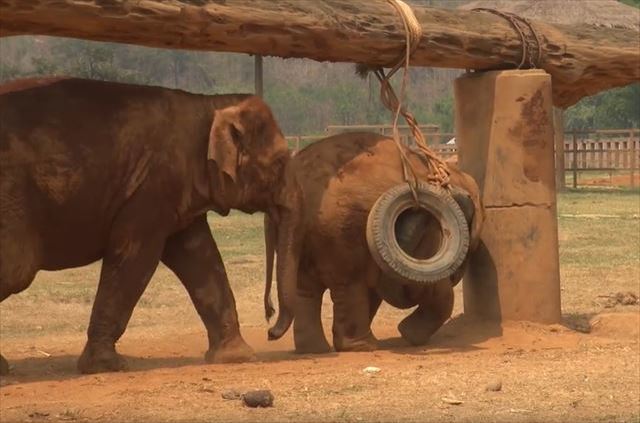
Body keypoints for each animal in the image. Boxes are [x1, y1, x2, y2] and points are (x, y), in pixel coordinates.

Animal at [0, 77, 290, 374]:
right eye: (281, 161)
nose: (270, 325)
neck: (207, 105)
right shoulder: (152, 187)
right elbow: (135, 257)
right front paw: (107, 365)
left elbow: (200, 256)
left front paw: (236, 357)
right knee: (16, 269)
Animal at [262, 133, 482, 354]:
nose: (270, 333)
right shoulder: (430, 235)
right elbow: (435, 291)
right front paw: (408, 334)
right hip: (341, 233)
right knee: (348, 284)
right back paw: (364, 345)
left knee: (306, 289)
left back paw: (316, 349)